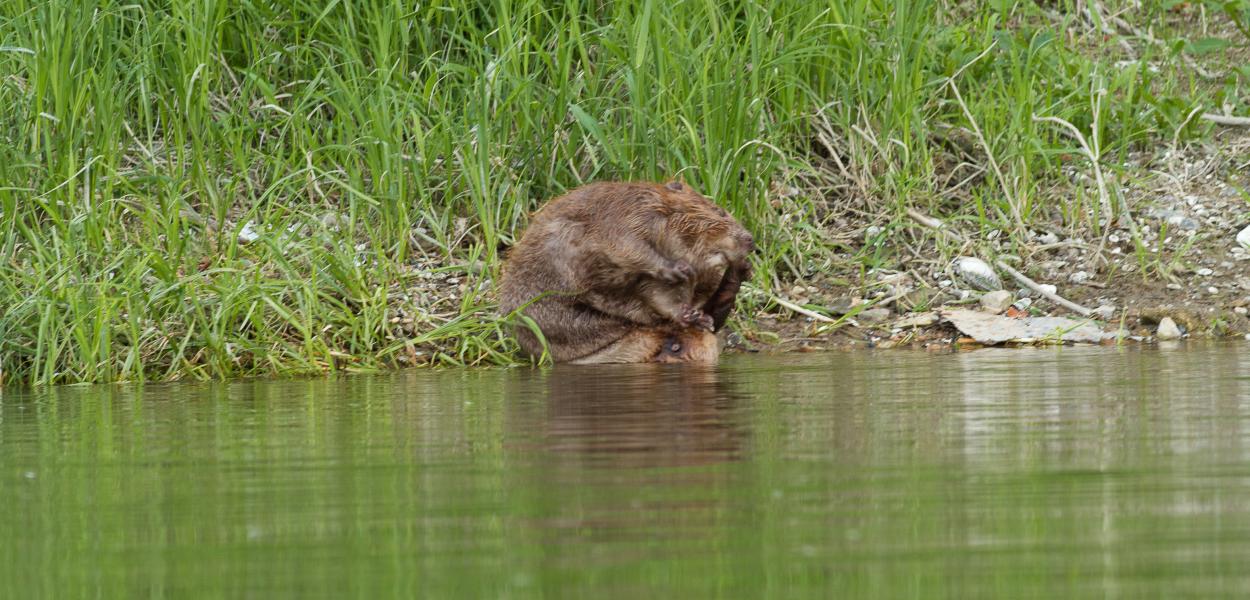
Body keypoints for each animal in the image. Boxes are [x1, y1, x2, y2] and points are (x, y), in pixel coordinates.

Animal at [495, 180, 750, 362]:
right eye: (720, 211)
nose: (751, 239)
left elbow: (664, 296)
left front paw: (694, 312)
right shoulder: (627, 210)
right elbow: (628, 245)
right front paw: (677, 270)